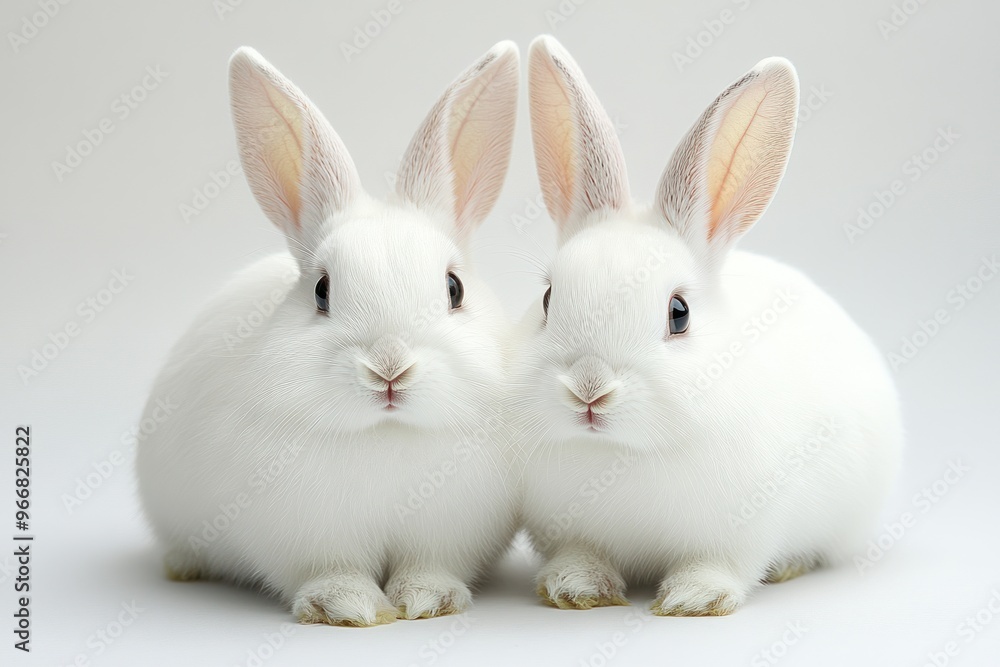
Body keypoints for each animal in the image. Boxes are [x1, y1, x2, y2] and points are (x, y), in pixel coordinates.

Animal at [136, 42, 521, 627]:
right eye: (322, 290)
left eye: (454, 288)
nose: (389, 368)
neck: (385, 434)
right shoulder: (309, 541)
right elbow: (332, 573)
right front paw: (347, 608)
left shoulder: (445, 539)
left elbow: (428, 567)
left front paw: (429, 602)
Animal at [512, 35, 904, 616]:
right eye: (546, 298)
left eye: (679, 313)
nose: (588, 389)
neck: (621, 454)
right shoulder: (566, 530)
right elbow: (581, 555)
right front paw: (576, 588)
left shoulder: (741, 534)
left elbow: (721, 565)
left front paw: (693, 598)